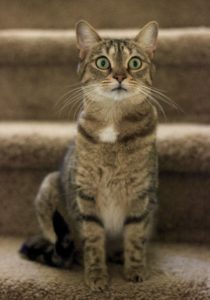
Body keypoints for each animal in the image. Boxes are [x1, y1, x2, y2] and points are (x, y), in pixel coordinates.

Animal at [19, 19, 158, 292]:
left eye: (135, 62)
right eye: (103, 62)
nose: (119, 76)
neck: (113, 123)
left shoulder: (141, 194)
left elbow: (135, 237)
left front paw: (135, 270)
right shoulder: (86, 194)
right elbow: (93, 240)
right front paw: (96, 276)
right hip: (49, 188)